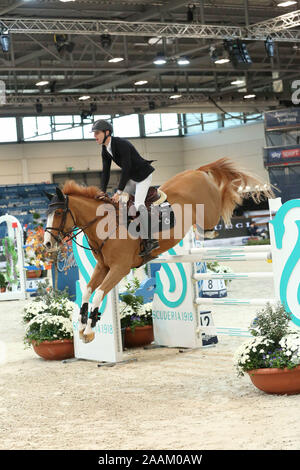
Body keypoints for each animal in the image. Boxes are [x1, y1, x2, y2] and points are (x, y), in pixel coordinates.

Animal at [42, 156, 274, 344]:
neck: (105, 225)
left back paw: (229, 206)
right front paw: (82, 327)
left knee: (221, 201)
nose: (47, 244)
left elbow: (99, 293)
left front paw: (90, 330)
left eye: (59, 212)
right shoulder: (103, 267)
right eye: (47, 213)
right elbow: (88, 291)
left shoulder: (119, 269)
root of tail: (196, 171)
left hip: (209, 211)